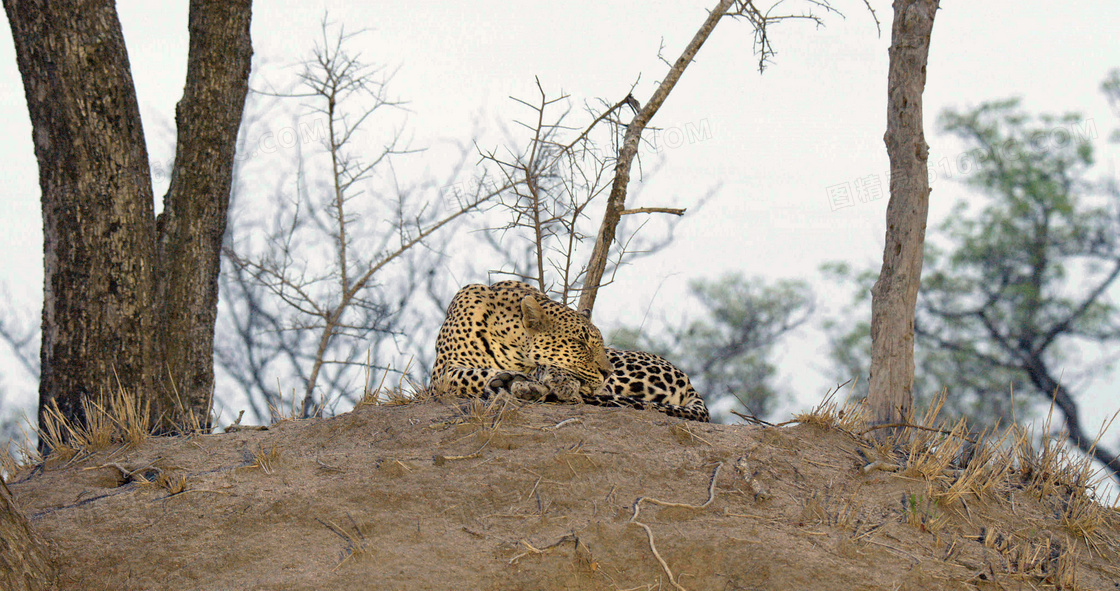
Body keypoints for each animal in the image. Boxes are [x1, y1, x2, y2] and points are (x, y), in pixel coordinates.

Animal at [427, 280, 707, 423]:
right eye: (581, 343)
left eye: (598, 343)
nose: (607, 372)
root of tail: (688, 381)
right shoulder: (441, 374)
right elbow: (471, 375)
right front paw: (509, 380)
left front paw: (547, 381)